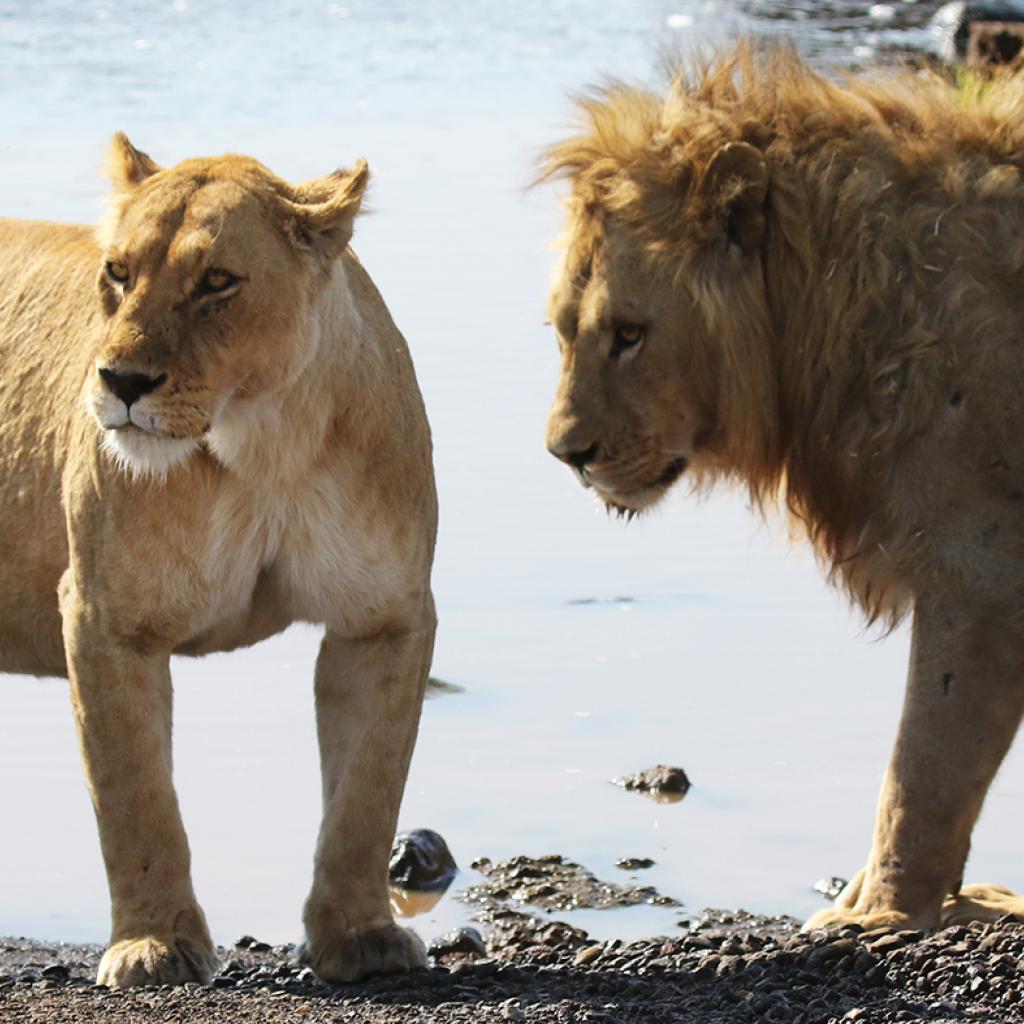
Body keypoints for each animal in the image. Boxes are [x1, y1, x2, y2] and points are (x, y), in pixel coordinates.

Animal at [0, 134, 436, 983]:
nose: (122, 382)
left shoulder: (386, 617)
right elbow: (137, 801)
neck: (261, 442)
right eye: (118, 272)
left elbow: (367, 794)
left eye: (217, 282)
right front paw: (153, 945)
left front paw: (360, 936)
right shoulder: (106, 620)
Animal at [544, 44, 1024, 933]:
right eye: (563, 330)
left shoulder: (981, 571)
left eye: (629, 334)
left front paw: (878, 916)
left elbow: (921, 771)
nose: (567, 454)